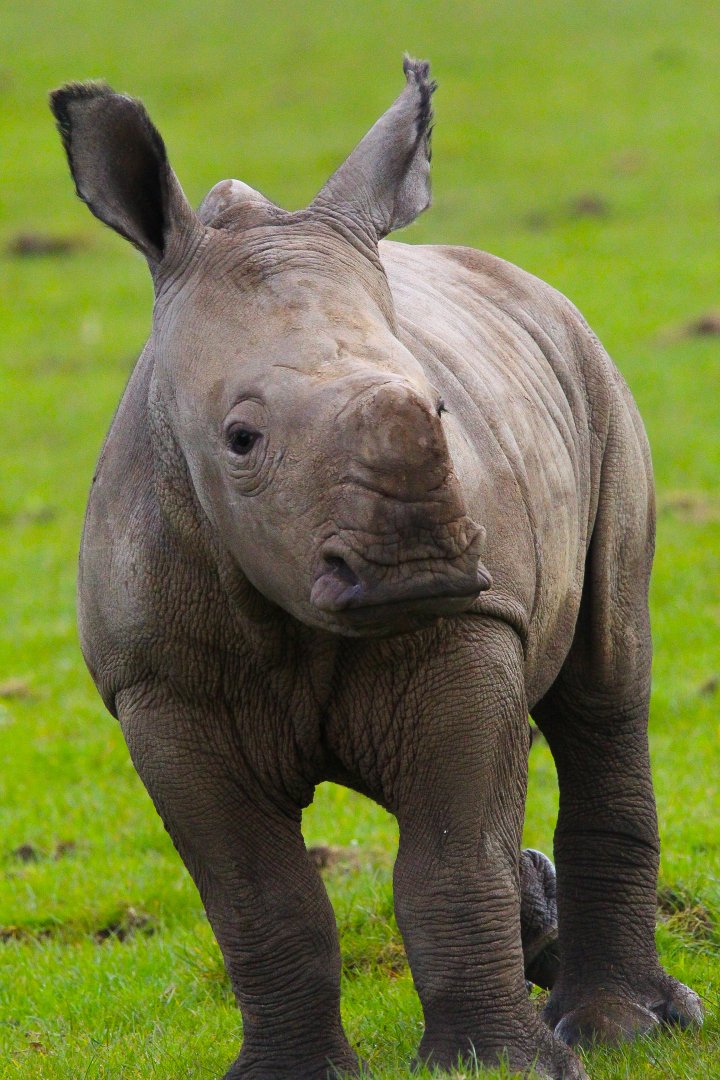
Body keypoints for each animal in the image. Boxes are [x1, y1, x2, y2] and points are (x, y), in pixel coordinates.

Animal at [50, 59, 701, 1079]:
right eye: (241, 440)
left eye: (439, 407)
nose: (419, 567)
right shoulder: (158, 684)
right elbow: (256, 897)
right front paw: (289, 1075)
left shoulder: (474, 622)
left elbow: (452, 860)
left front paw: (500, 1066)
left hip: (594, 373)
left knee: (606, 688)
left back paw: (616, 1026)